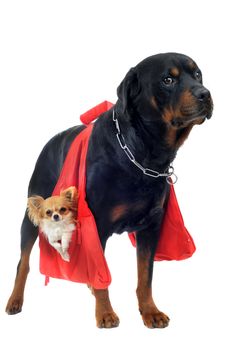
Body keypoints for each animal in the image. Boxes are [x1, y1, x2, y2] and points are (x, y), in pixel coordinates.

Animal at [5, 52, 213, 328]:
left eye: (198, 75)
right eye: (168, 79)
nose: (205, 93)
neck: (143, 153)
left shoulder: (151, 227)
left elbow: (145, 276)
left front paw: (150, 311)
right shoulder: (97, 225)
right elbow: (101, 273)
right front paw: (104, 313)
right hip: (33, 211)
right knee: (24, 262)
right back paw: (15, 300)